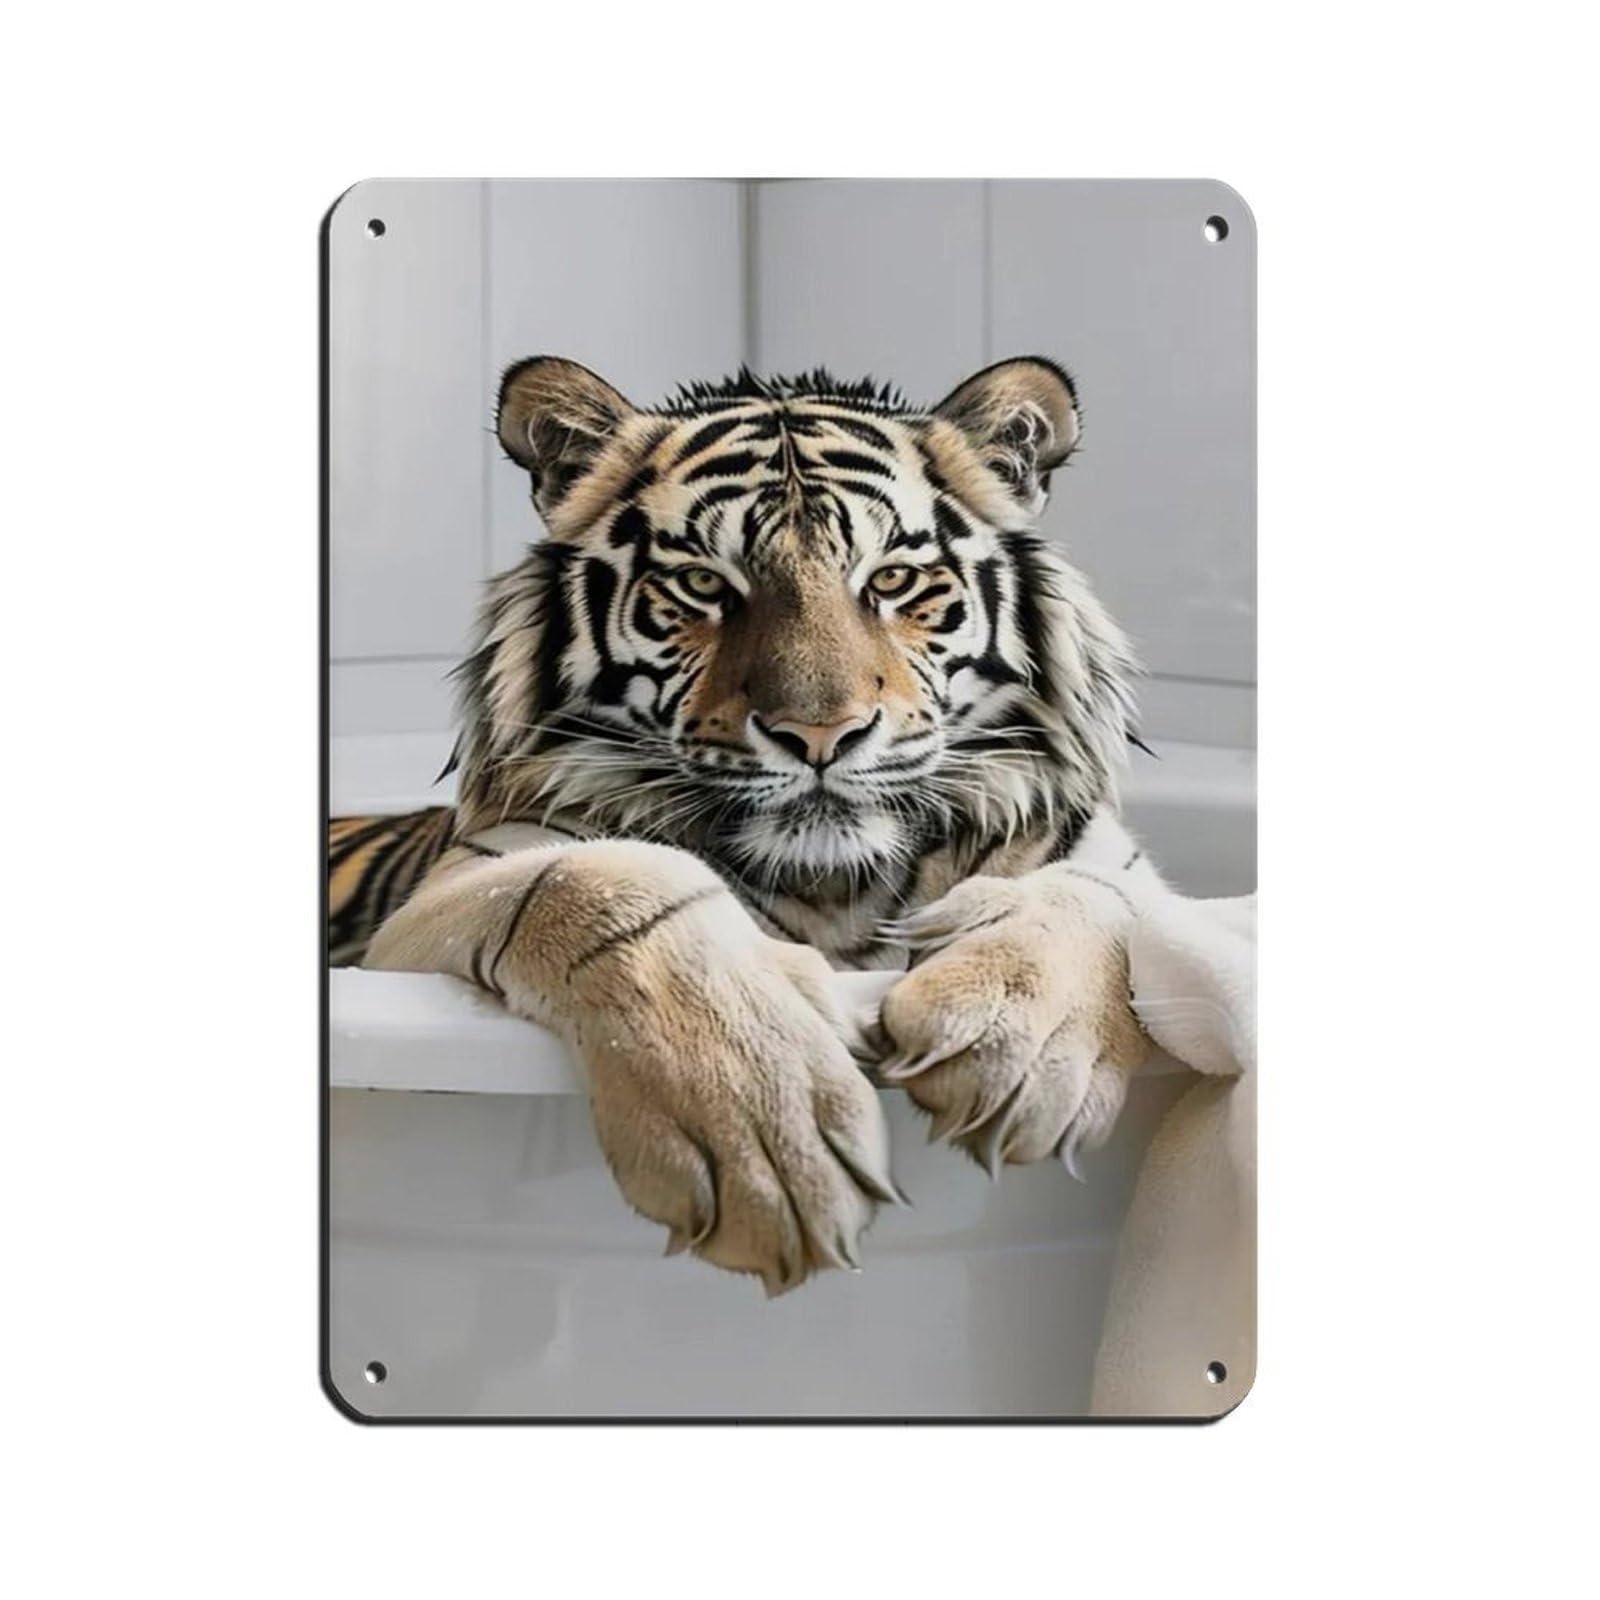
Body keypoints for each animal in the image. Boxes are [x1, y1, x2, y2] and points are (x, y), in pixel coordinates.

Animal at [330, 353, 1166, 1295]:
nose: (820, 734)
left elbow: (1090, 893)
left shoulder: (1107, 860)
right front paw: (768, 1147)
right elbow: (611, 888)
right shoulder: (454, 890)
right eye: (704, 585)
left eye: (891, 581)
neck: (837, 885)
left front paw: (1015, 1050)